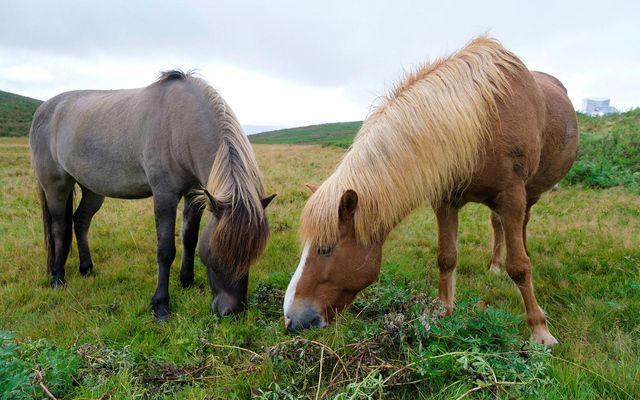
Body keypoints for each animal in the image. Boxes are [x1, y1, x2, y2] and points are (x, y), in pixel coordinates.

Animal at [29, 70, 276, 320]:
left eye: (253, 254)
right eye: (217, 254)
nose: (232, 311)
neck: (180, 124)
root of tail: (44, 109)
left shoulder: (195, 194)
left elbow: (189, 238)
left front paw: (187, 281)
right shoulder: (165, 195)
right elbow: (165, 250)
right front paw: (161, 305)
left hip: (92, 189)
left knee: (80, 221)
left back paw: (86, 269)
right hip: (56, 186)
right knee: (59, 228)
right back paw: (58, 278)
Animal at [284, 37, 580, 344]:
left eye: (325, 249)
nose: (291, 319)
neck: (482, 122)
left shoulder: (512, 196)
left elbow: (520, 266)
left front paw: (540, 331)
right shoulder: (446, 201)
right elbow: (446, 258)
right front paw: (443, 312)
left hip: (529, 193)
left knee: (521, 226)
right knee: (497, 224)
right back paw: (495, 266)